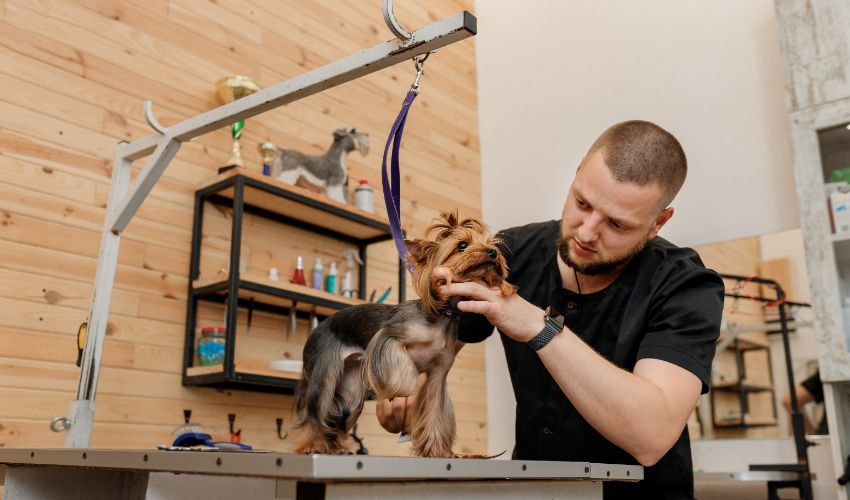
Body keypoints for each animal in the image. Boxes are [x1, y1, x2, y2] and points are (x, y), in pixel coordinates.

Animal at [294, 211, 512, 458]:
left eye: (491, 244)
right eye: (462, 245)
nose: (492, 252)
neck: (443, 316)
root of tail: (317, 328)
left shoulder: (439, 372)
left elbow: (434, 410)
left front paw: (437, 450)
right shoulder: (390, 336)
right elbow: (400, 361)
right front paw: (404, 388)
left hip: (350, 386)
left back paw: (333, 447)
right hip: (325, 373)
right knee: (315, 411)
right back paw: (311, 445)